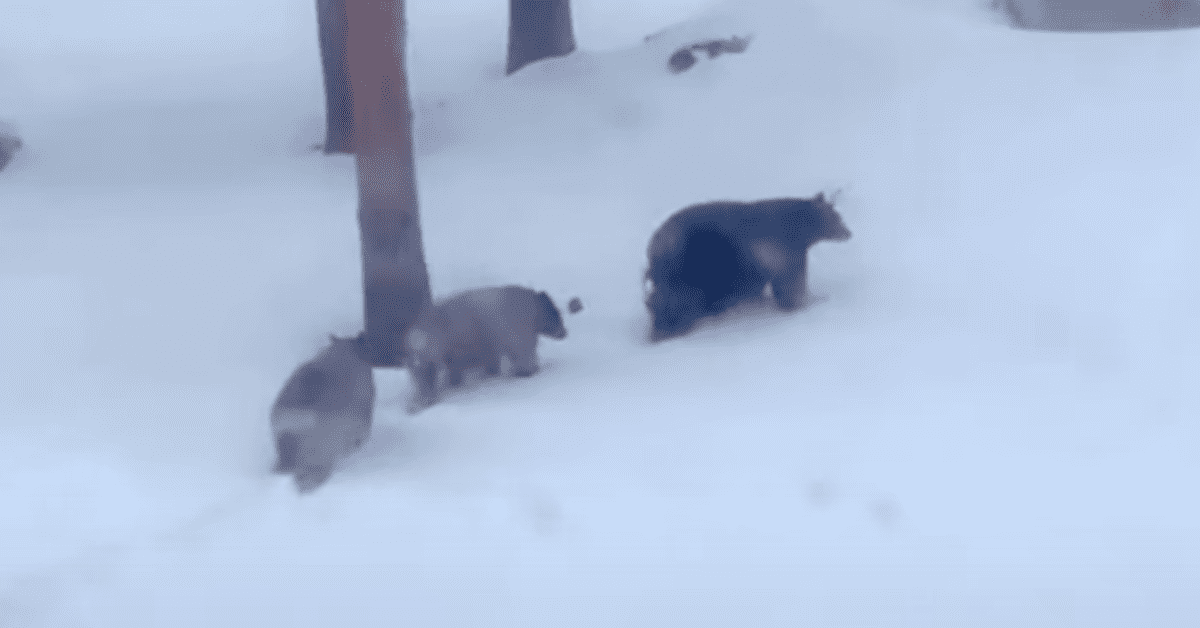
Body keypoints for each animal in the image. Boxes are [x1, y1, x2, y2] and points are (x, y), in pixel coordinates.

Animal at [648, 196, 854, 341]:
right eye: (837, 217)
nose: (848, 232)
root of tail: (656, 244)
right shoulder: (783, 252)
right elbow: (790, 284)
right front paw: (806, 302)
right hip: (690, 267)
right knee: (680, 300)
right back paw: (671, 328)